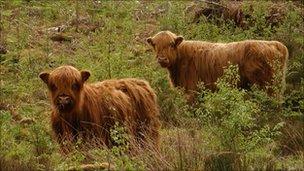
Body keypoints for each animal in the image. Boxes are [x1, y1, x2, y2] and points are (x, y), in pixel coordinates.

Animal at [147, 30, 288, 101]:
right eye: (155, 45)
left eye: (171, 44)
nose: (162, 58)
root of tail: (274, 44)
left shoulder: (192, 90)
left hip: (266, 86)